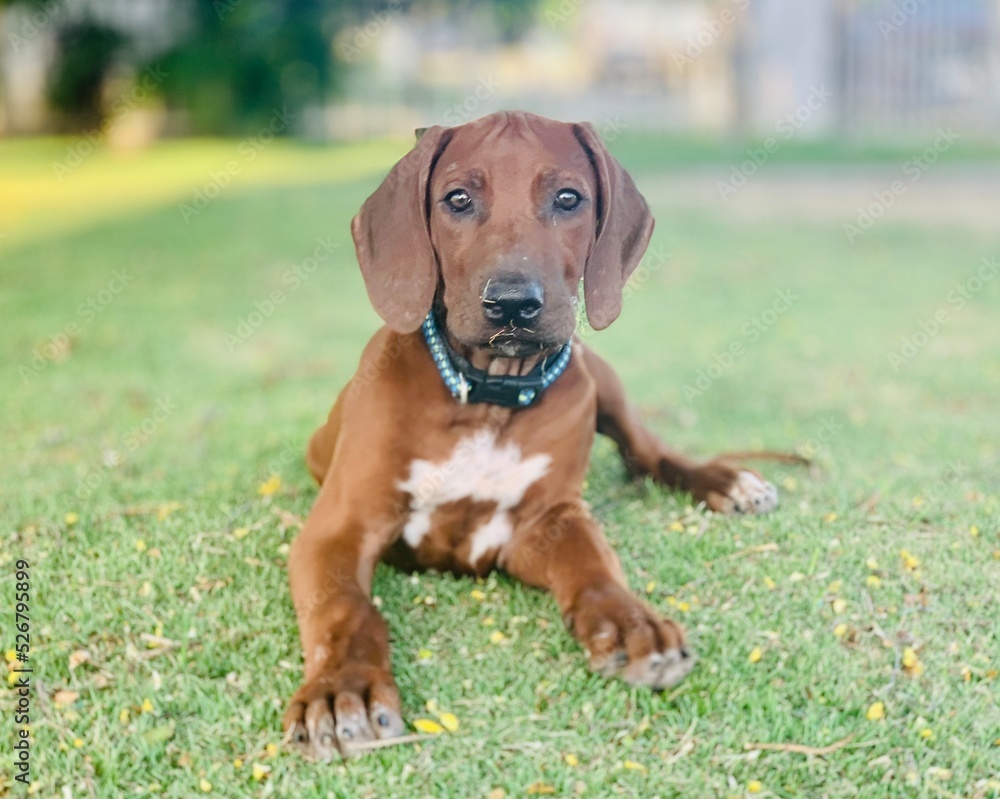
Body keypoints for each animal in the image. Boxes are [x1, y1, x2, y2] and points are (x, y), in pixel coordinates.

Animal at [284, 111, 780, 756]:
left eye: (568, 199)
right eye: (458, 199)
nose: (513, 304)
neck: (488, 397)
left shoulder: (547, 520)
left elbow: (594, 565)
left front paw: (631, 622)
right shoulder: (339, 529)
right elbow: (347, 611)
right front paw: (344, 687)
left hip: (598, 375)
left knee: (646, 453)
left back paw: (725, 481)